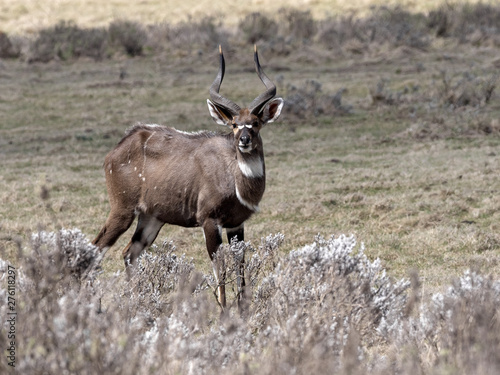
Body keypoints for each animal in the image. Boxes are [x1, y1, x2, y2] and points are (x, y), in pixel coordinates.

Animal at [92, 45, 284, 308]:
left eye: (255, 123)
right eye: (234, 124)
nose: (244, 140)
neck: (235, 178)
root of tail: (117, 148)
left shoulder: (237, 224)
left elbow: (240, 270)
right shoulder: (209, 221)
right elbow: (220, 270)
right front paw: (224, 312)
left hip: (151, 218)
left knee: (129, 253)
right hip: (122, 210)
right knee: (96, 249)